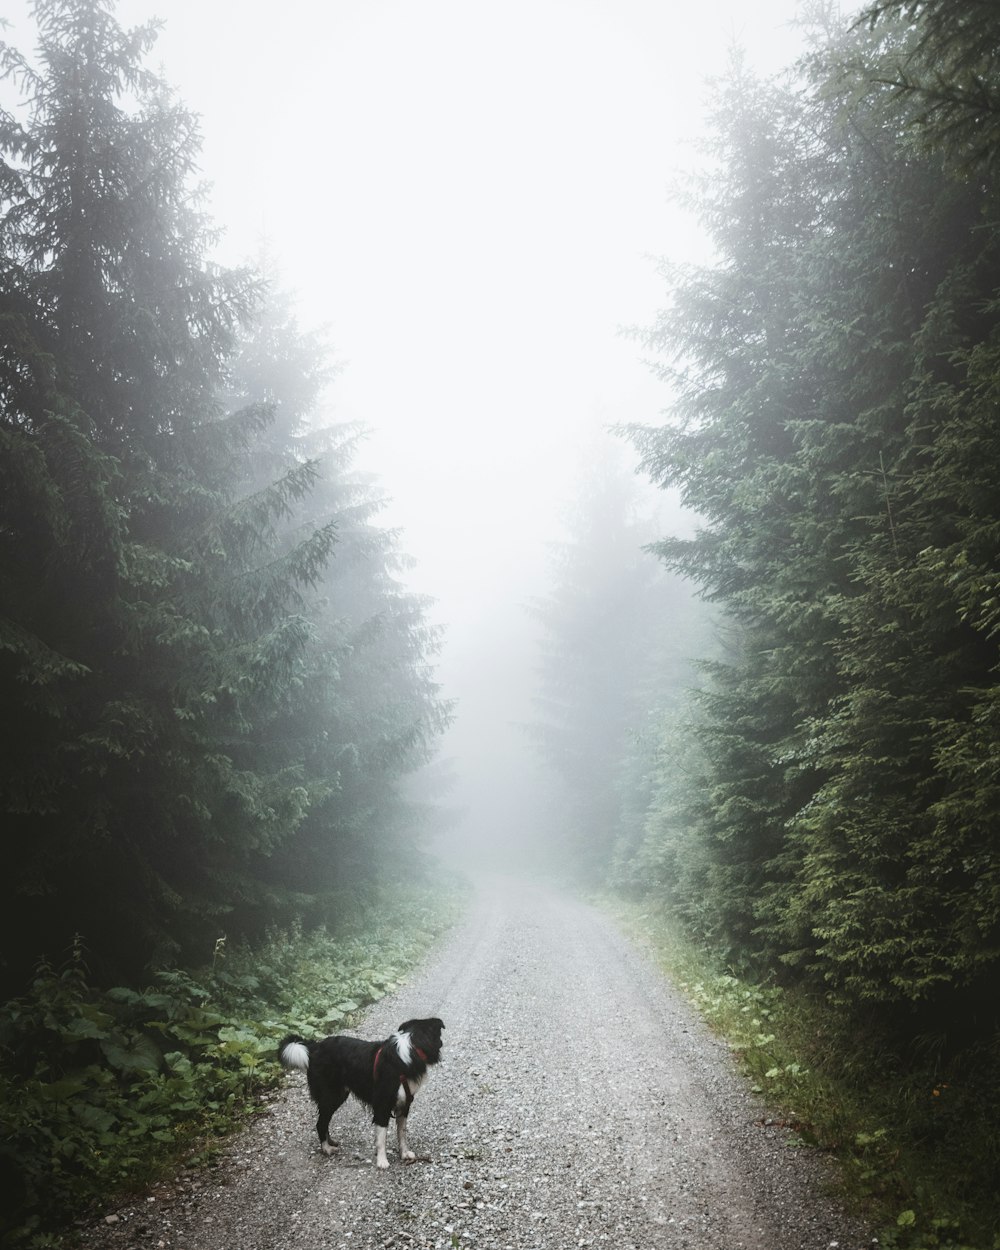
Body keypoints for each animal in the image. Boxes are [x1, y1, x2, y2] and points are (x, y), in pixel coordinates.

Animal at [277, 1020, 442, 1165]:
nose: (442, 1043)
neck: (410, 1051)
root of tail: (315, 1047)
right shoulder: (382, 1105)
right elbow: (381, 1138)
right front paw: (382, 1161)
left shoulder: (404, 1103)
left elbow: (402, 1132)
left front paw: (404, 1153)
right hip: (330, 1095)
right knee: (320, 1123)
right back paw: (326, 1148)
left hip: (339, 1095)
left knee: (324, 1121)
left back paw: (330, 1141)